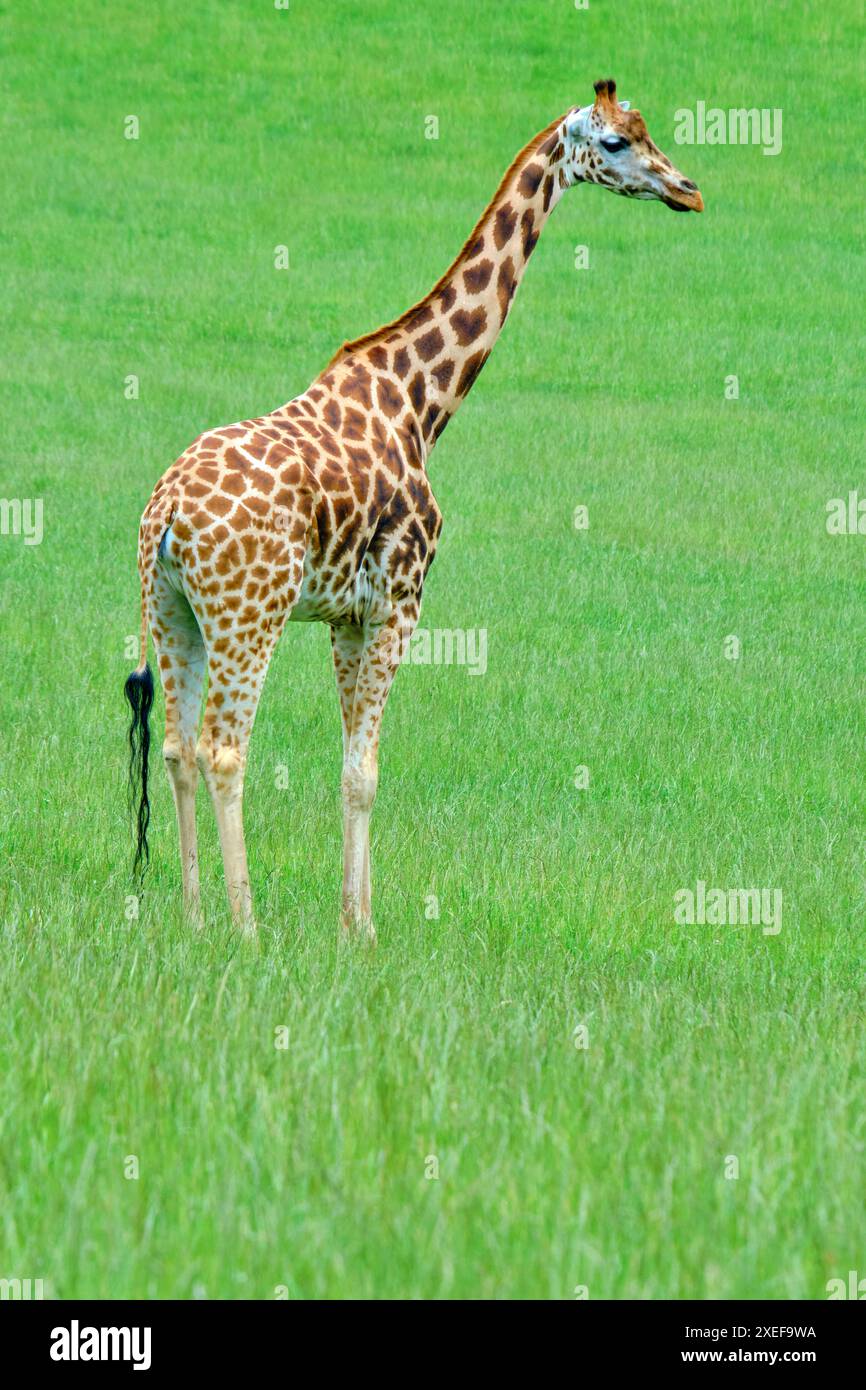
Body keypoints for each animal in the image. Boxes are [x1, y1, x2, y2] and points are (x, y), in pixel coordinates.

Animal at [124, 79, 702, 941]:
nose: (687, 190)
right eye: (618, 142)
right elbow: (366, 770)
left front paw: (348, 922)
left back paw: (195, 919)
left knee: (175, 745)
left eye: (646, 128)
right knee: (224, 750)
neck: (422, 402)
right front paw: (363, 932)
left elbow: (348, 767)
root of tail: (165, 516)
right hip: (247, 613)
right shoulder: (402, 597)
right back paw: (245, 926)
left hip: (171, 609)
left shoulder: (346, 614)